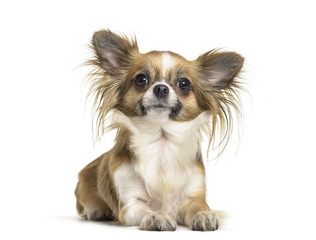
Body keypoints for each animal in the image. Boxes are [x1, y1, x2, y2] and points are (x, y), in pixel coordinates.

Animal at [74, 30, 244, 231]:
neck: (162, 142)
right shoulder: (130, 203)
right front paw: (157, 216)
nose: (161, 88)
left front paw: (203, 215)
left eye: (184, 84)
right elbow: (144, 209)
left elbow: (198, 207)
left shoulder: (193, 194)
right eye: (141, 79)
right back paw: (97, 212)